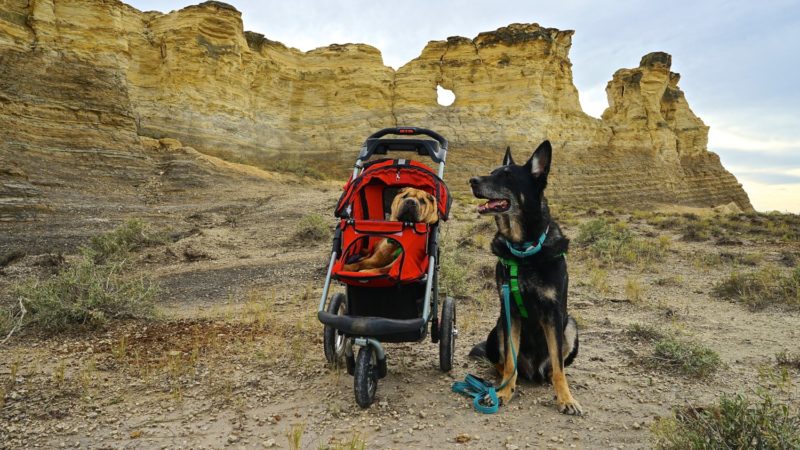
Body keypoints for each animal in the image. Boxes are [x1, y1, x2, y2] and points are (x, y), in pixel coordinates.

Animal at [468, 141, 580, 414]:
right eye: (492, 172)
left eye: (507, 176)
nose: (472, 180)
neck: (524, 251)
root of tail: (533, 371)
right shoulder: (510, 312)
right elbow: (510, 360)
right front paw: (503, 393)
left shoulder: (553, 313)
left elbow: (560, 368)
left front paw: (566, 398)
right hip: (498, 326)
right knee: (506, 363)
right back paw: (502, 381)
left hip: (571, 325)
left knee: (554, 367)